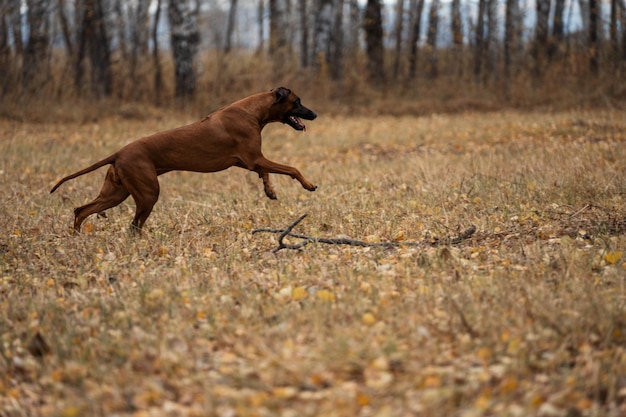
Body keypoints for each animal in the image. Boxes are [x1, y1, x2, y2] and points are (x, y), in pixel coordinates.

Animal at [50, 87, 316, 231]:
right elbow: (291, 168)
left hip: (116, 192)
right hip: (147, 193)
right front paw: (308, 184)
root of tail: (119, 152)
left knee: (81, 210)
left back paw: (77, 236)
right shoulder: (254, 158)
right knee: (134, 226)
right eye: (298, 101)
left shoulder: (249, 161)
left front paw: (269, 190)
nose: (314, 113)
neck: (254, 110)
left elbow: (266, 172)